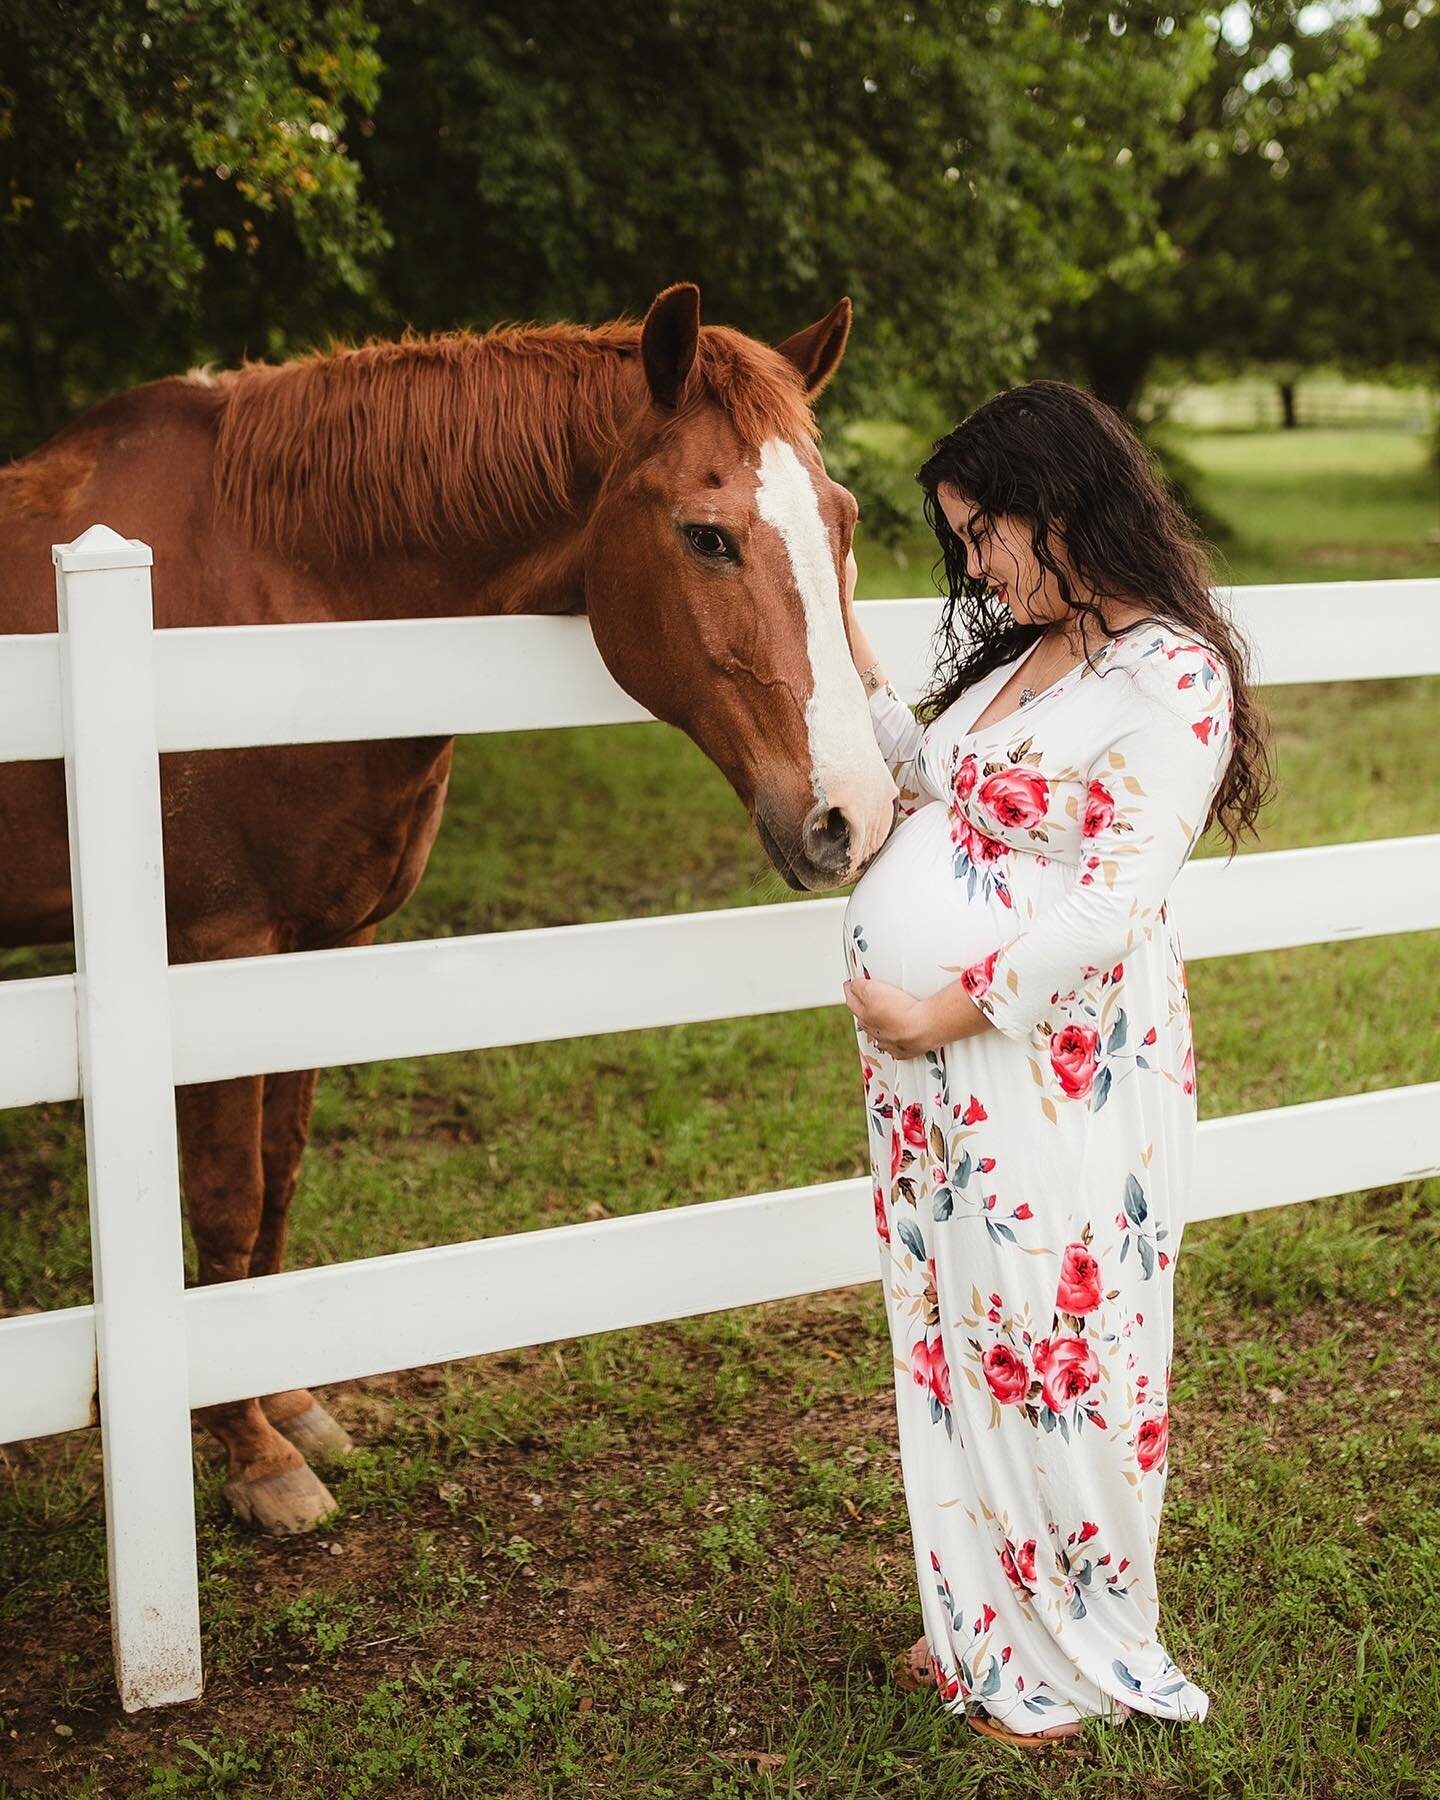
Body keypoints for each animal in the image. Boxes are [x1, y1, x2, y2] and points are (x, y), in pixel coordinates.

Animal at [0, 280, 900, 1533]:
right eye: (706, 535)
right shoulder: (211, 948)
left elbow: (280, 1178)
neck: (276, 587)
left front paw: (290, 1404)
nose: (853, 815)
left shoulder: (327, 938)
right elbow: (226, 1200)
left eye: (844, 519)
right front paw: (253, 1457)